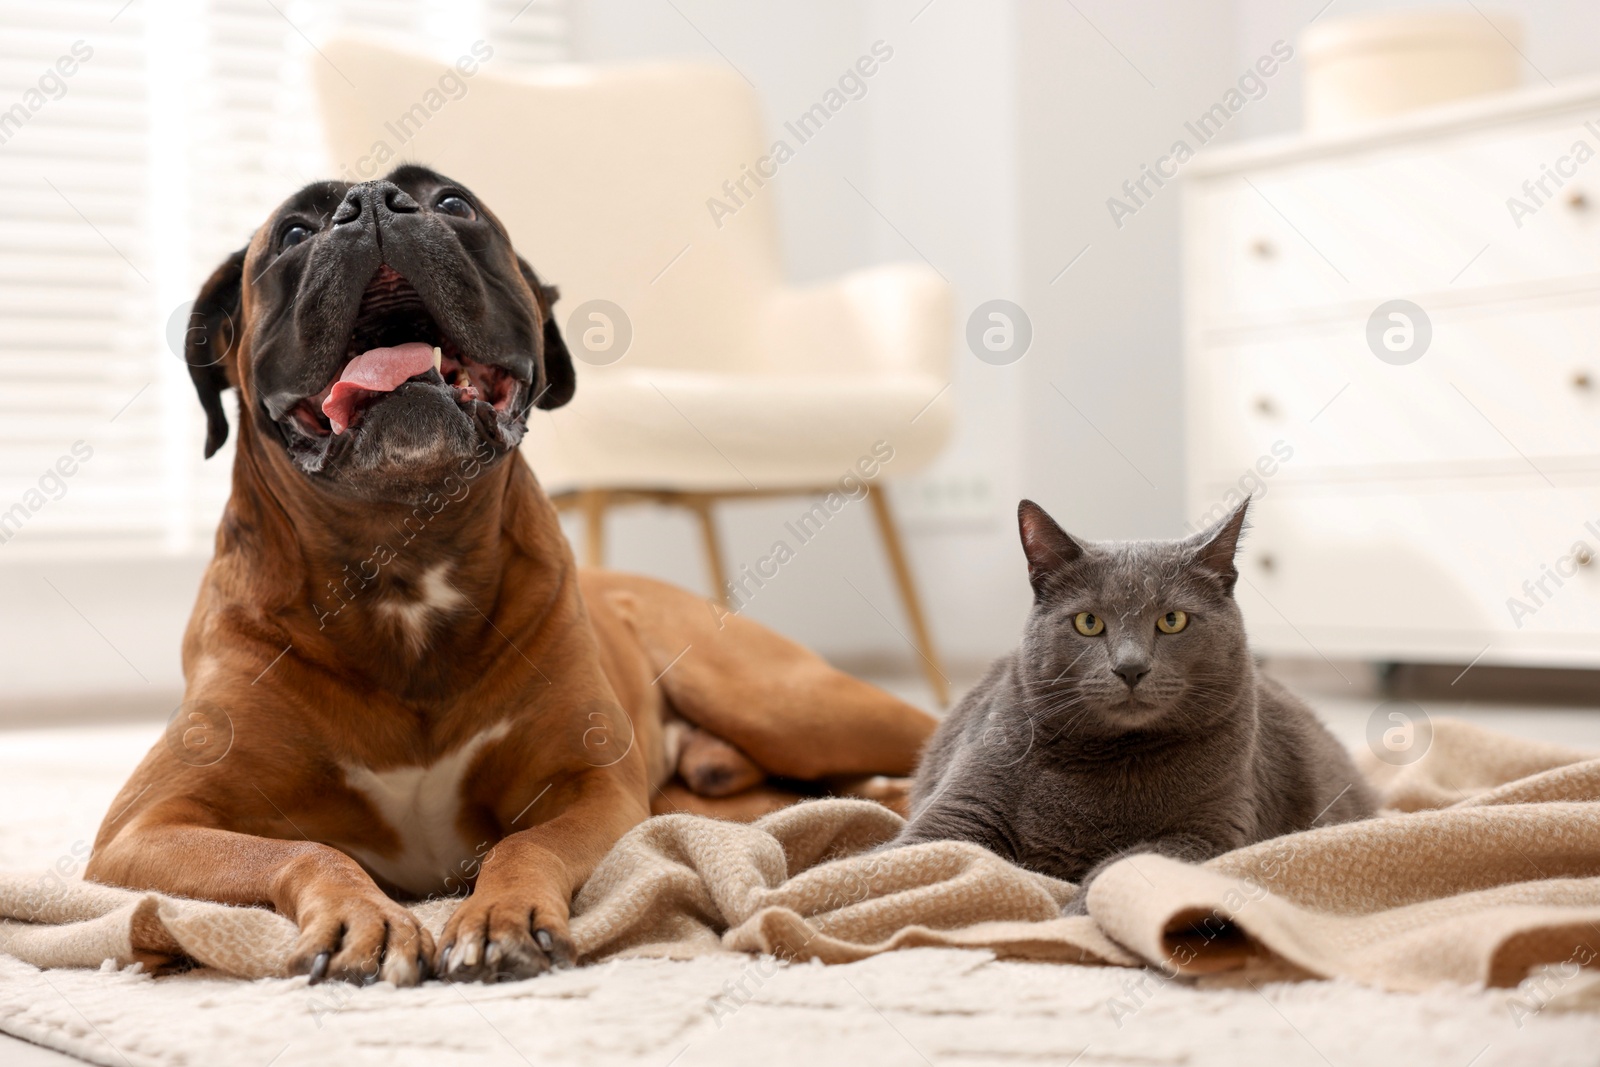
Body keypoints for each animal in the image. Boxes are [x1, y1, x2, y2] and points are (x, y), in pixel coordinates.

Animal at [84, 164, 934, 985]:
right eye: (294, 233)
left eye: (453, 203)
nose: (373, 203)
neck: (404, 557)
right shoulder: (144, 829)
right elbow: (306, 850)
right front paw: (364, 918)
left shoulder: (596, 789)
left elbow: (523, 844)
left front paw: (500, 915)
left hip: (789, 706)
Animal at [889, 495, 1376, 908]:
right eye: (1088, 622)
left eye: (1172, 620)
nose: (1130, 667)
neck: (1109, 758)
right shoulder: (957, 811)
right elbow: (900, 859)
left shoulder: (1211, 829)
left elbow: (1128, 863)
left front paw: (1074, 912)